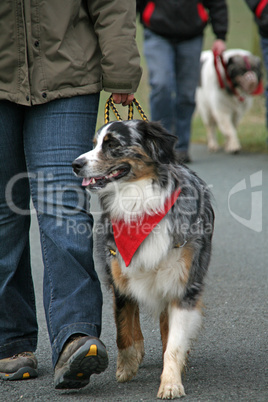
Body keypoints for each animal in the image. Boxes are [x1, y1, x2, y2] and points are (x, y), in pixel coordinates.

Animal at [72, 120, 215, 398]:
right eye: (94, 143)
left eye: (112, 144)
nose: (75, 164)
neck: (138, 201)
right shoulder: (119, 274)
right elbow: (123, 327)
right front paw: (127, 365)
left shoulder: (183, 284)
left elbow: (174, 342)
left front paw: (170, 382)